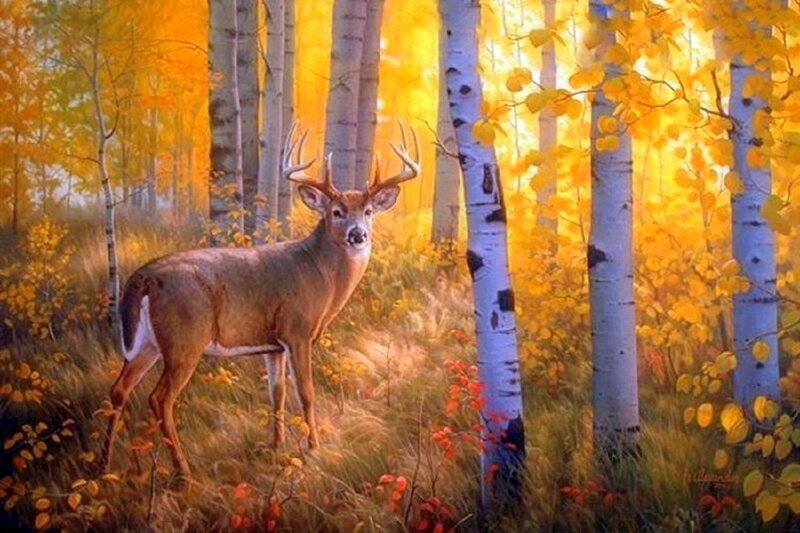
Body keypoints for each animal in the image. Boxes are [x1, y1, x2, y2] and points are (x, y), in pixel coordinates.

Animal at [100, 123, 419, 481]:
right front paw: (314, 448)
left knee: (118, 390)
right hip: (184, 340)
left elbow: (276, 394)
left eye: (368, 212)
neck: (322, 276)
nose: (358, 235)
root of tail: (144, 278)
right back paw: (183, 473)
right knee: (159, 399)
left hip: (147, 344)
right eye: (336, 212)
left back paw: (103, 466)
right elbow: (306, 393)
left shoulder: (273, 344)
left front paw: (276, 446)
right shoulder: (297, 330)